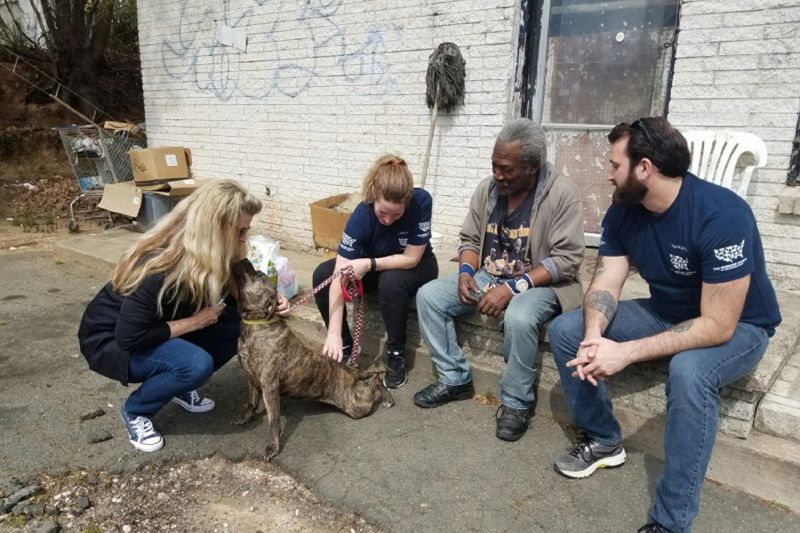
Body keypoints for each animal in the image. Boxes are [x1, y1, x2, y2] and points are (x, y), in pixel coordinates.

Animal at [231, 258, 394, 458]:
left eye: (260, 275)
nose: (244, 259)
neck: (258, 323)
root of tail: (350, 371)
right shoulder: (251, 380)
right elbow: (251, 403)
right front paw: (245, 418)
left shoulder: (269, 387)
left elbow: (273, 421)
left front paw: (273, 446)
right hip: (354, 399)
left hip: (356, 406)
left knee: (376, 381)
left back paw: (387, 397)